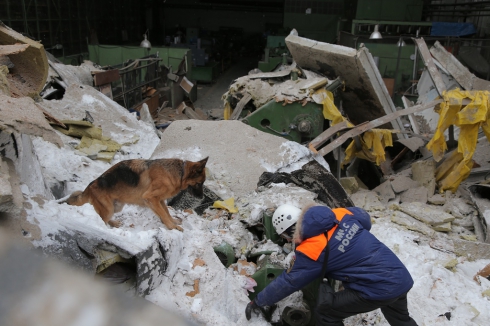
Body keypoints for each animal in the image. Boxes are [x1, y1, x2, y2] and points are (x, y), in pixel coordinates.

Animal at [65, 157, 209, 229]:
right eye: (199, 183)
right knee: (101, 219)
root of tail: (89, 187)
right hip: (109, 209)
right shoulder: (150, 198)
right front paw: (172, 227)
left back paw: (114, 223)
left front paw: (172, 221)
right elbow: (163, 213)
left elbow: (166, 212)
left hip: (117, 207)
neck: (180, 172)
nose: (202, 197)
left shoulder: (159, 200)